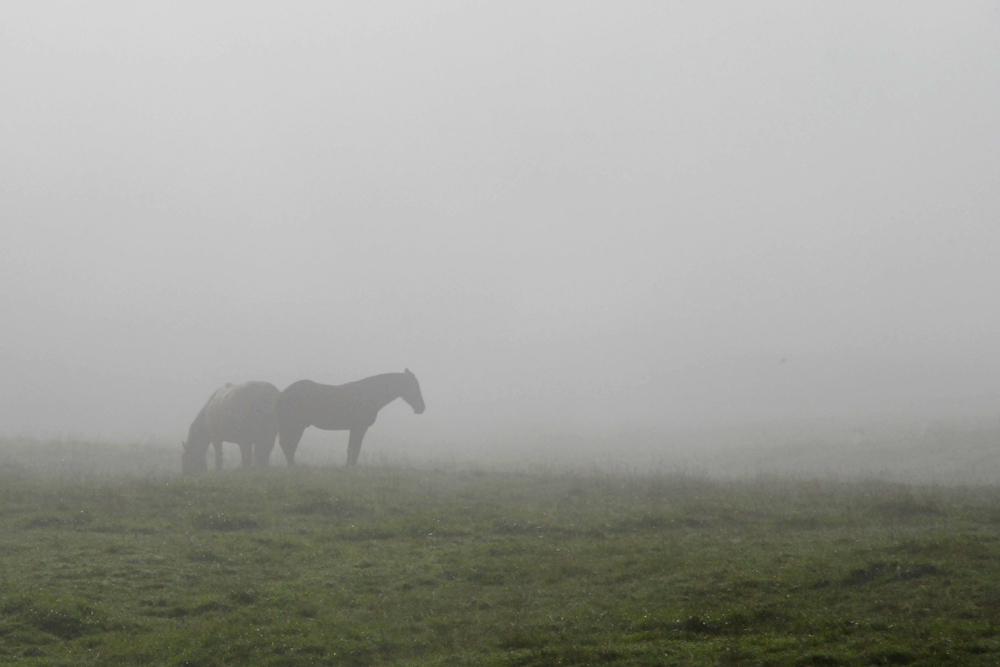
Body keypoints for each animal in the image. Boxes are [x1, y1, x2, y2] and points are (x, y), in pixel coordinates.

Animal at [276, 368, 424, 468]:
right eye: (413, 386)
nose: (422, 408)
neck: (370, 395)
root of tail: (283, 393)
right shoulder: (360, 428)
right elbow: (355, 449)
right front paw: (352, 467)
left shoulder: (354, 429)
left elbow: (351, 448)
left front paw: (348, 466)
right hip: (296, 426)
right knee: (289, 445)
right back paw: (293, 465)